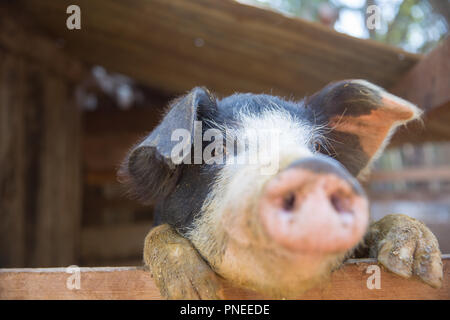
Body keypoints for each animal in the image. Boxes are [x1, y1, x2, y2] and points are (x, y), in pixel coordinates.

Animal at [118, 79, 442, 298]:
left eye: (317, 147)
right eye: (215, 149)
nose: (315, 171)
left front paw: (419, 268)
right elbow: (156, 234)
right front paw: (197, 292)